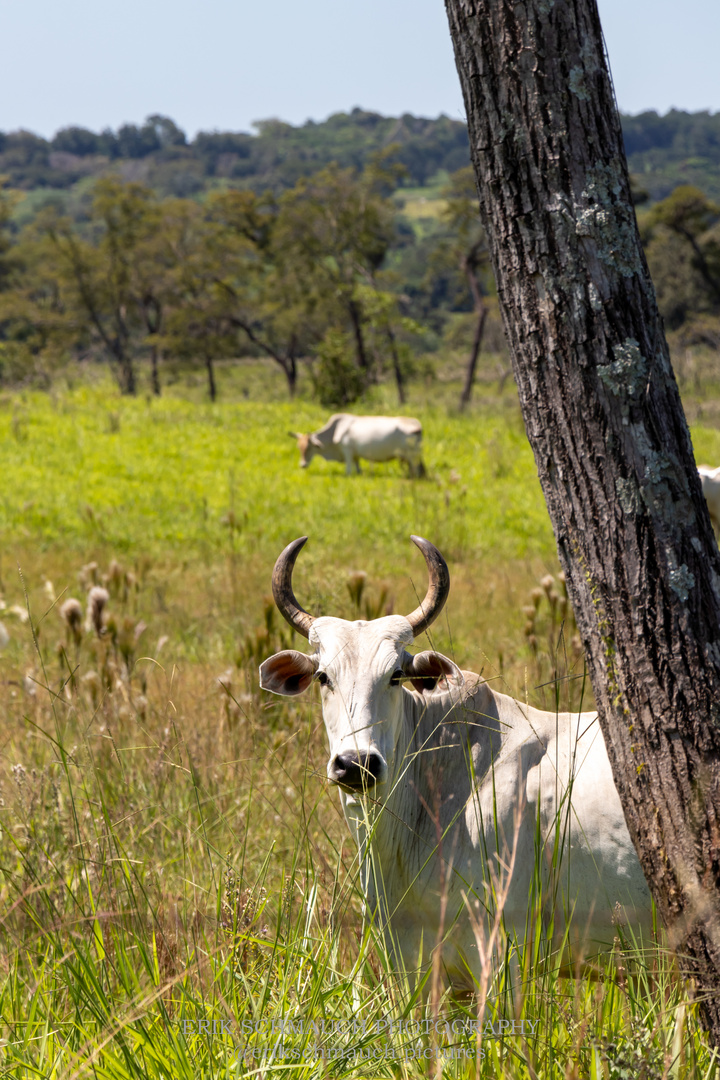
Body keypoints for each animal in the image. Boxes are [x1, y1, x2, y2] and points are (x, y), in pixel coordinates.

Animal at [289, 412, 425, 477]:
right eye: (299, 447)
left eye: (309, 447)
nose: (302, 465)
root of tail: (416, 424)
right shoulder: (356, 455)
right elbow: (358, 468)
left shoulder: (347, 451)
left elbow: (348, 470)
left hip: (413, 456)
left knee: (416, 470)